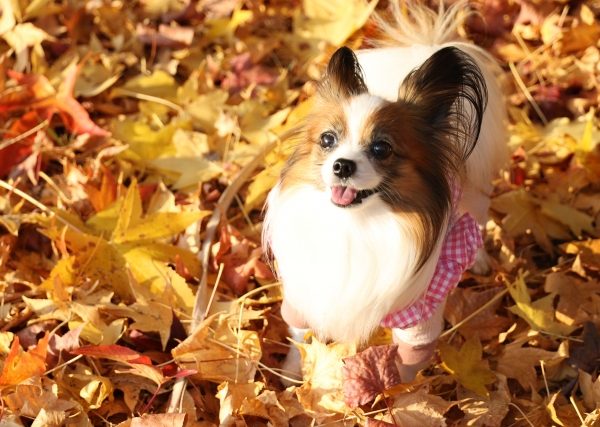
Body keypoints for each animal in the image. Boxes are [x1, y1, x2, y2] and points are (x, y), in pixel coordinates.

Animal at [262, 1, 506, 382]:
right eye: (327, 140)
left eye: (381, 149)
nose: (342, 166)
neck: (356, 227)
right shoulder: (307, 298)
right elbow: (300, 340)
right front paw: (292, 377)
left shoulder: (419, 320)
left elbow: (403, 373)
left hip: (475, 193)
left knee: (475, 220)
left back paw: (477, 257)